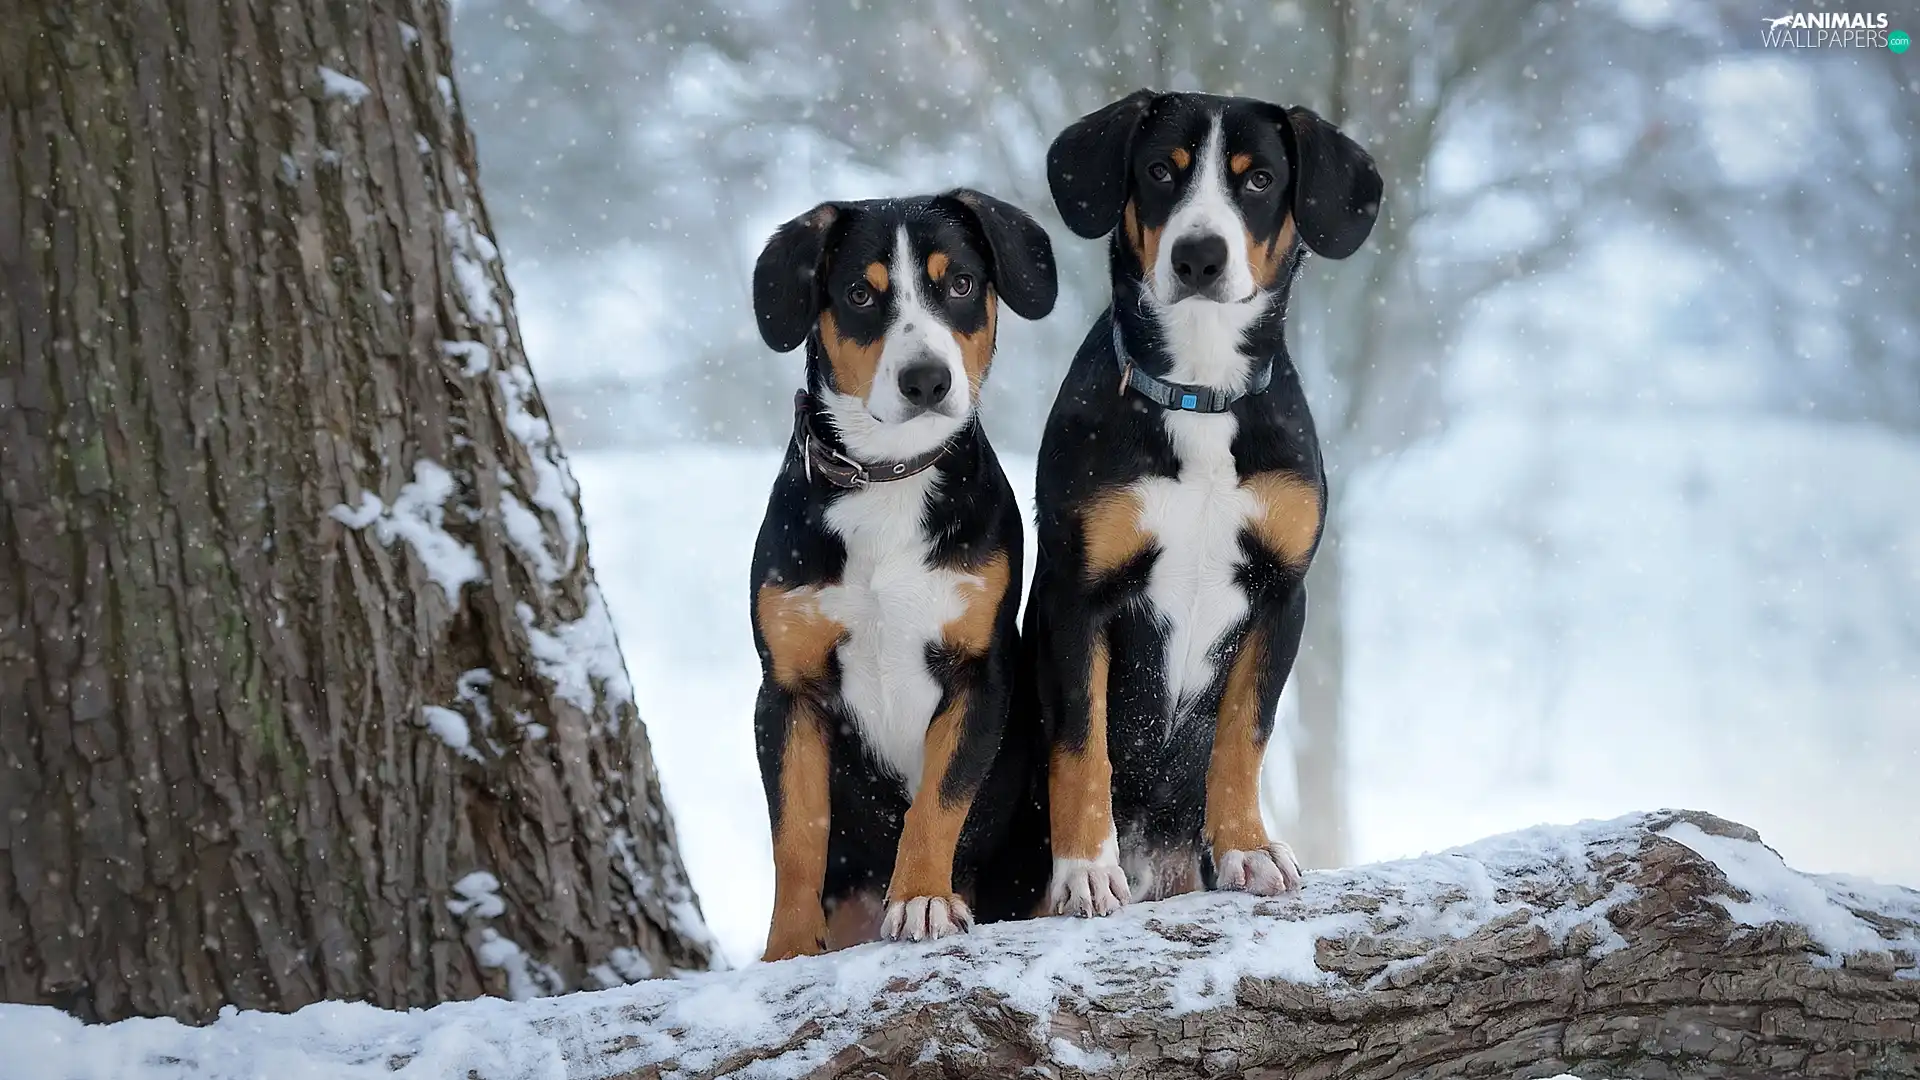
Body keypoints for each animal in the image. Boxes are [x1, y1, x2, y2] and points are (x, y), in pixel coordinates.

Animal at [748, 189, 1059, 953]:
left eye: (962, 284)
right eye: (860, 294)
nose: (926, 379)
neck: (889, 478)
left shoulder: (978, 669)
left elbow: (939, 799)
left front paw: (920, 898)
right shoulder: (787, 689)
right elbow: (797, 835)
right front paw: (789, 946)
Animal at [1029, 92, 1390, 910]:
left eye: (1258, 180)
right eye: (1162, 170)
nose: (1200, 256)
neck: (1198, 390)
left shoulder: (1281, 590)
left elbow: (1242, 734)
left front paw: (1247, 849)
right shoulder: (1077, 592)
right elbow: (1081, 742)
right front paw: (1086, 869)